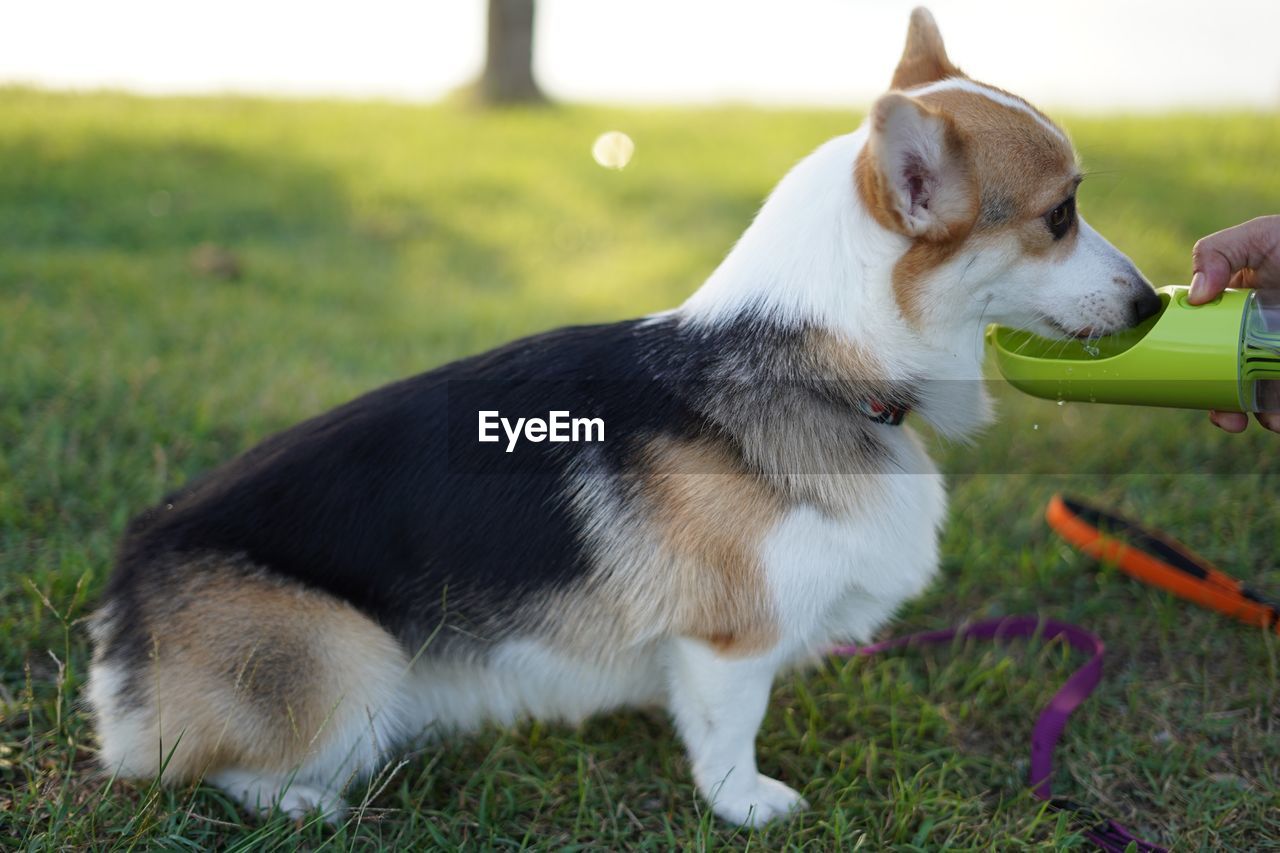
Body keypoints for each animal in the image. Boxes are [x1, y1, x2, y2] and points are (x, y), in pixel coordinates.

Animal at [87, 8, 1162, 824]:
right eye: (1060, 214)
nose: (1153, 303)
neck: (816, 357)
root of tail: (127, 579)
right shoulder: (729, 637)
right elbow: (730, 730)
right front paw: (749, 804)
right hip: (354, 665)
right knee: (188, 767)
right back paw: (305, 801)